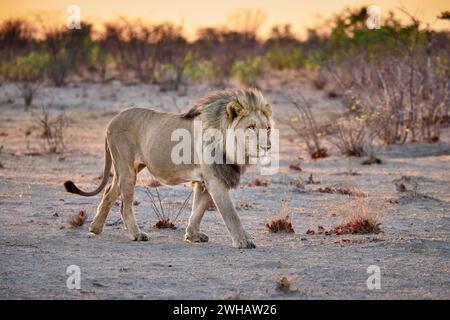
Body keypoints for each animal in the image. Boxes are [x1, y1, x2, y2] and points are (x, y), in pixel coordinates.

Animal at [63, 89, 272, 249]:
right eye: (251, 127)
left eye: (268, 128)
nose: (268, 146)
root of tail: (112, 120)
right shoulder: (215, 180)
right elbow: (231, 214)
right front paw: (243, 241)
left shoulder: (205, 181)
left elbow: (198, 210)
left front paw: (192, 236)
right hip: (127, 168)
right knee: (124, 205)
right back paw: (137, 234)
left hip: (129, 168)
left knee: (109, 193)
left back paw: (95, 228)